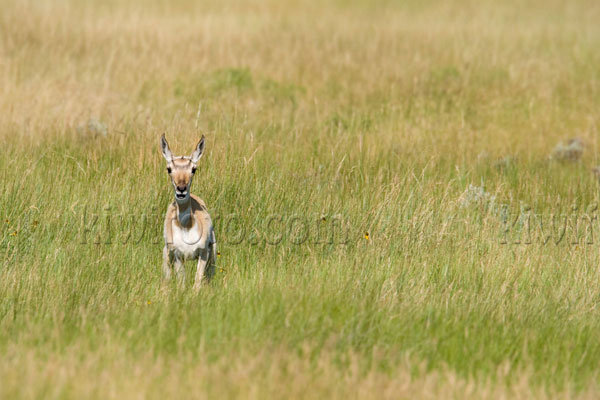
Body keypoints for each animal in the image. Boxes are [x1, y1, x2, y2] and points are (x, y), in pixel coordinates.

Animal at [159, 134, 216, 288]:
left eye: (193, 169)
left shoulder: (203, 253)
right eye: (169, 169)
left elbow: (197, 282)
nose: (181, 189)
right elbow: (182, 283)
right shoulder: (178, 256)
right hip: (167, 253)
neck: (187, 228)